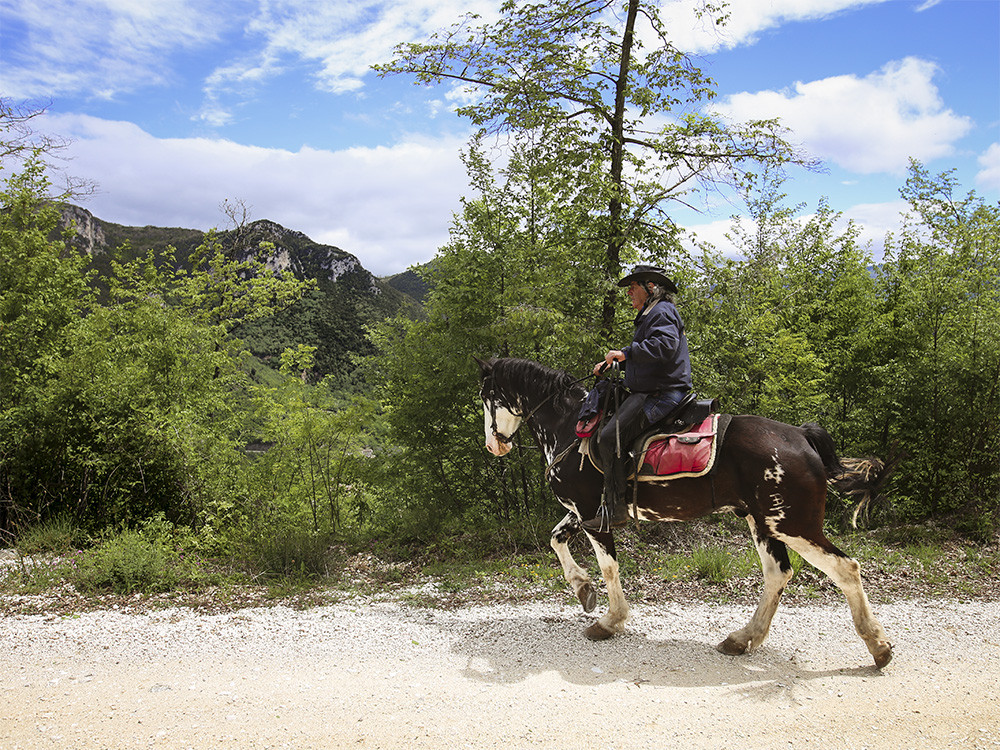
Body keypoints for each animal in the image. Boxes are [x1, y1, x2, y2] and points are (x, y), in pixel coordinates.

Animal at [472, 356, 896, 668]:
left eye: (487, 398)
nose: (494, 445)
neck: (570, 426)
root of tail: (801, 435)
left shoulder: (593, 513)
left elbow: (609, 568)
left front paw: (609, 620)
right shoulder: (583, 512)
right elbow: (556, 539)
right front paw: (583, 589)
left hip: (794, 524)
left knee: (846, 568)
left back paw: (877, 645)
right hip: (764, 523)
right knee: (778, 574)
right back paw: (743, 639)